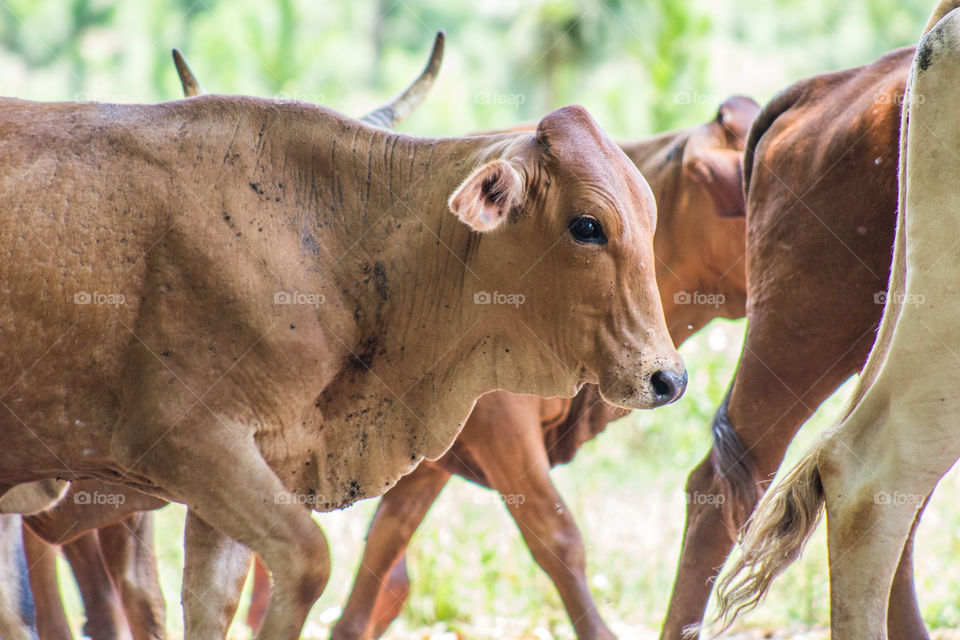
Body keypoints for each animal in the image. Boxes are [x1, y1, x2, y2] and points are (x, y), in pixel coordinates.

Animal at [0, 62, 684, 640]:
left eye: (651, 215)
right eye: (587, 226)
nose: (669, 379)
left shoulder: (244, 471)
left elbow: (214, 601)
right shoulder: (187, 441)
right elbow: (307, 562)